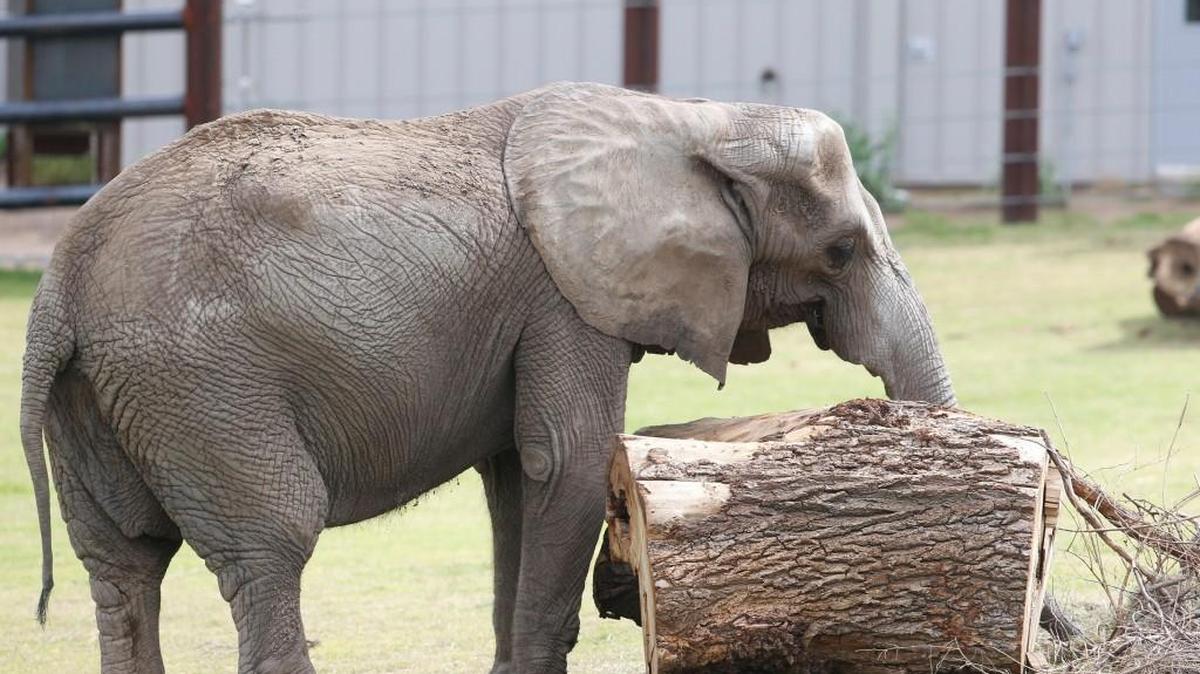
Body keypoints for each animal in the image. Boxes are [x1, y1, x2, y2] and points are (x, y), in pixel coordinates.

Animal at [19, 82, 955, 674]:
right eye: (842, 251)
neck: (690, 120)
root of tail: (59, 285)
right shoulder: (564, 298)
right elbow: (568, 463)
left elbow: (516, 480)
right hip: (201, 386)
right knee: (272, 543)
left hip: (105, 398)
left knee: (122, 566)